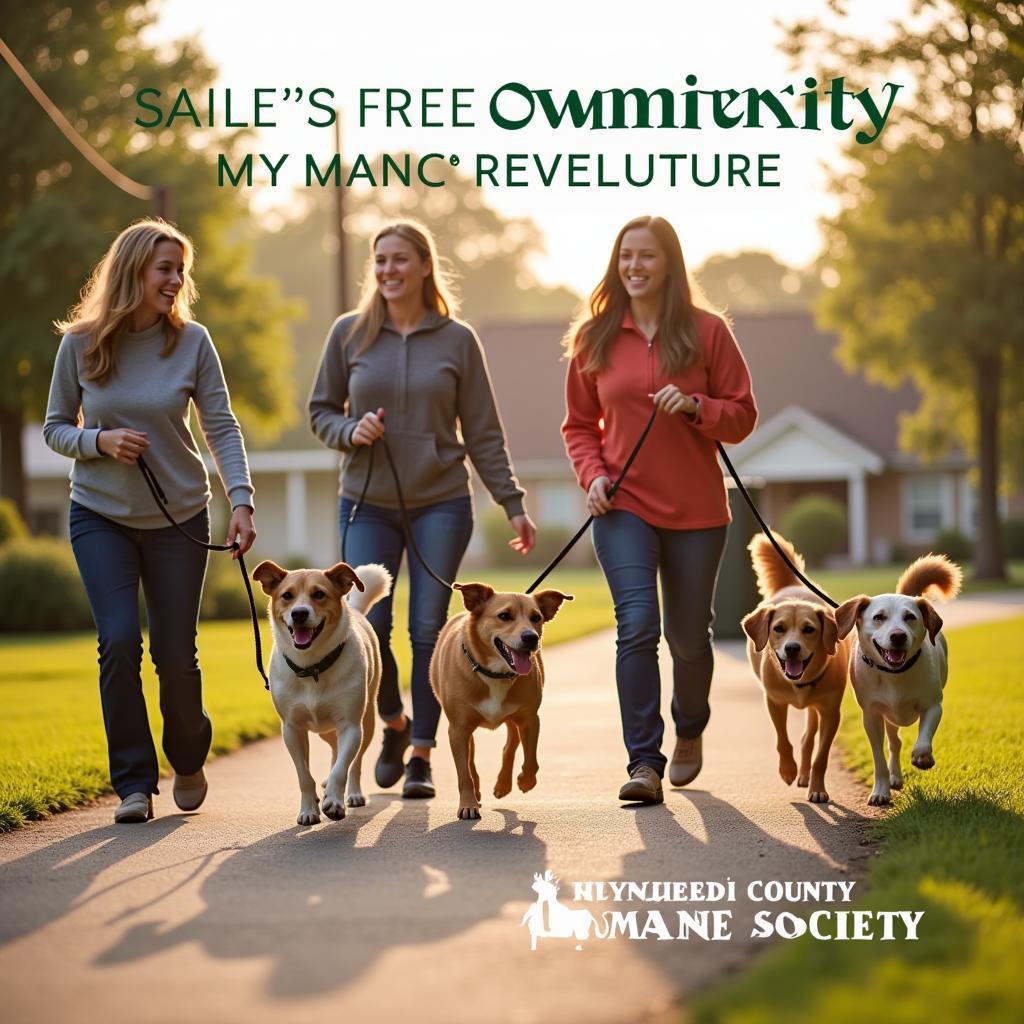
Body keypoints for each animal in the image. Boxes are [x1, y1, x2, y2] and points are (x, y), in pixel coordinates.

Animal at [251, 557, 391, 827]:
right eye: (287, 595)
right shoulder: (291, 729)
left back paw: (352, 793)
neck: (312, 666)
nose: (299, 613)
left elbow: (342, 768)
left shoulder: (350, 725)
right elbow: (304, 775)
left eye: (319, 594)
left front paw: (334, 801)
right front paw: (308, 809)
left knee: (354, 762)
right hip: (325, 730)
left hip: (366, 722)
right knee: (335, 749)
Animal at [745, 532, 847, 802]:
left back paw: (805, 775)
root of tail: (794, 584)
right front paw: (788, 770)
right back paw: (798, 773)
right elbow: (783, 740)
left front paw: (817, 788)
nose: (792, 648)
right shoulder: (774, 702)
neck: (799, 683)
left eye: (809, 629)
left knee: (807, 738)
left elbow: (821, 756)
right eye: (778, 628)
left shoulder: (831, 712)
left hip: (816, 709)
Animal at [835, 557, 962, 802]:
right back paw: (894, 777)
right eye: (878, 617)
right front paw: (880, 791)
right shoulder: (872, 715)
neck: (894, 674)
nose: (898, 635)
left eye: (910, 617)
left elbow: (923, 739)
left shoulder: (933, 705)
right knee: (894, 743)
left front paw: (922, 757)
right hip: (889, 718)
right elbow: (879, 758)